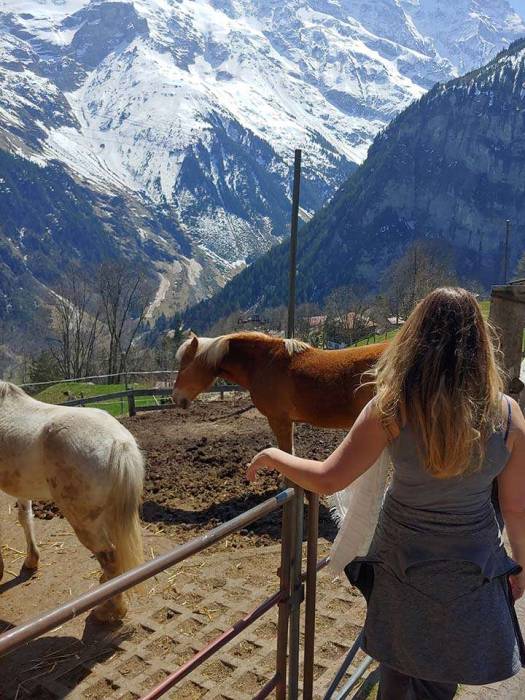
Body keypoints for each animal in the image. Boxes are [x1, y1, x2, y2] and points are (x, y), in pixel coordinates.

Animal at [0, 380, 143, 620]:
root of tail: (119, 442)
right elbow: (25, 518)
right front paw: (31, 560)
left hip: (84, 521)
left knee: (110, 558)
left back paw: (109, 610)